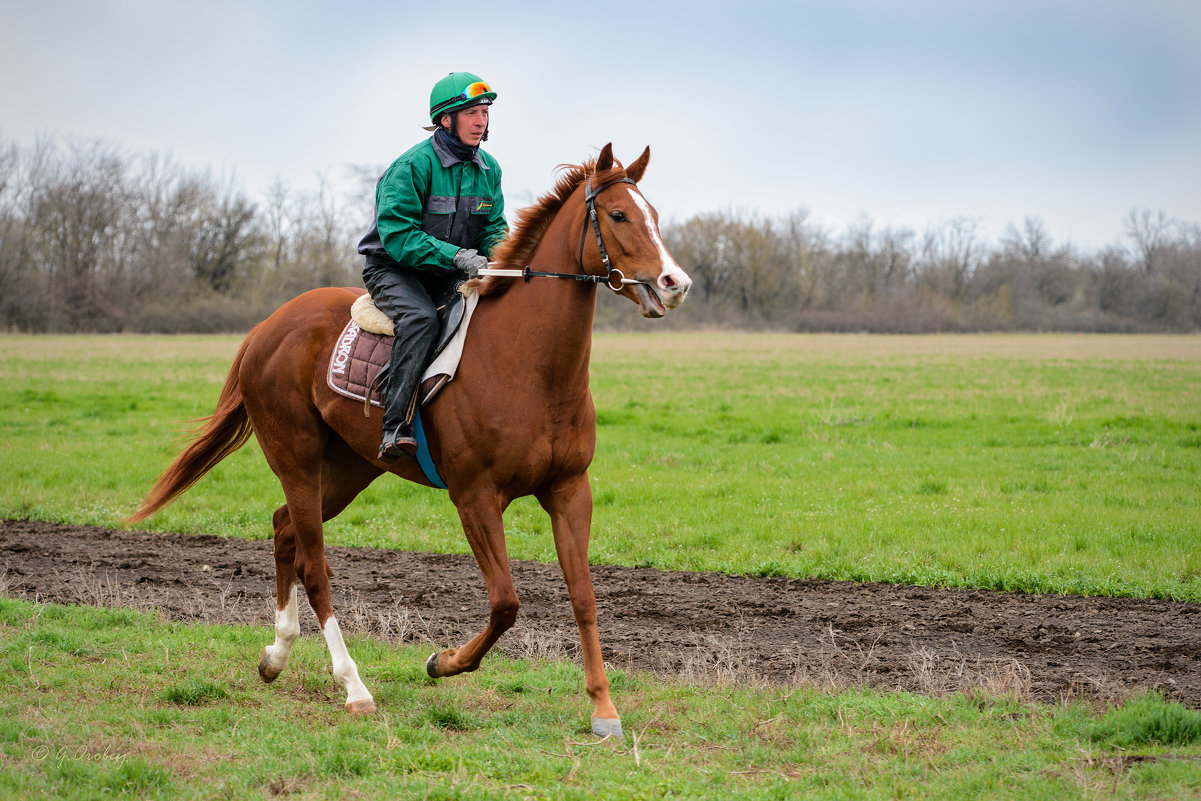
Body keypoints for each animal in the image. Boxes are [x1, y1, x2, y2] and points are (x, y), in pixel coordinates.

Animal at [126, 144, 691, 739]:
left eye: (653, 213)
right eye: (619, 215)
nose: (675, 282)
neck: (530, 367)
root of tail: (267, 327)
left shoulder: (569, 490)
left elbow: (583, 597)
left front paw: (604, 709)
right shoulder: (475, 497)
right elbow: (506, 602)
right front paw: (443, 662)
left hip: (348, 469)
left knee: (283, 530)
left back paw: (276, 655)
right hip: (297, 460)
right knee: (314, 566)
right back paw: (354, 687)